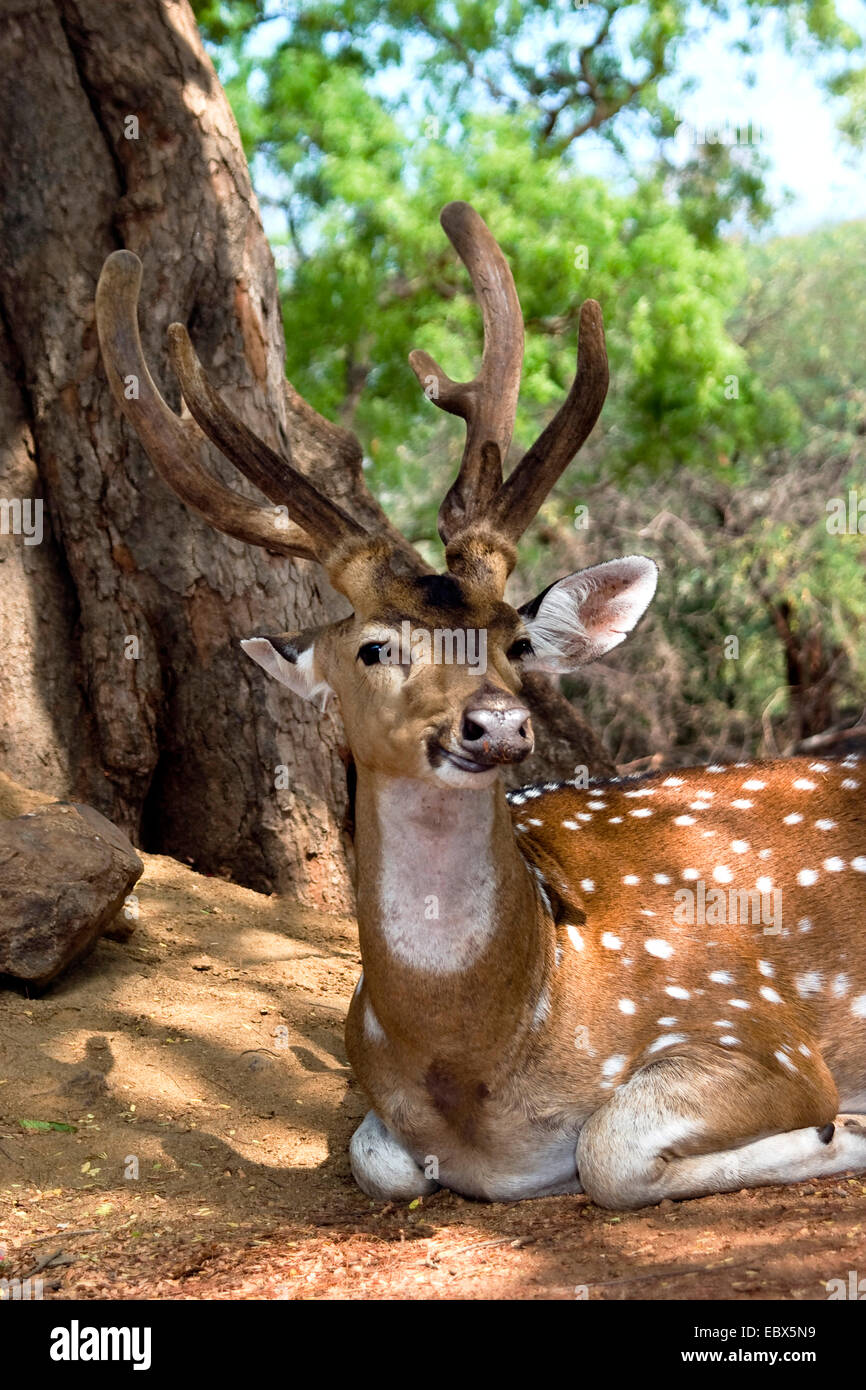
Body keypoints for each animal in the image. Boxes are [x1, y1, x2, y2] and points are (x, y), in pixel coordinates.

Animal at [96, 202, 866, 1206]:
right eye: (375, 647)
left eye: (513, 640)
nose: (496, 722)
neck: (488, 1058)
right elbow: (379, 1158)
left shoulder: (759, 1029)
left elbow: (609, 1150)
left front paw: (843, 1133)